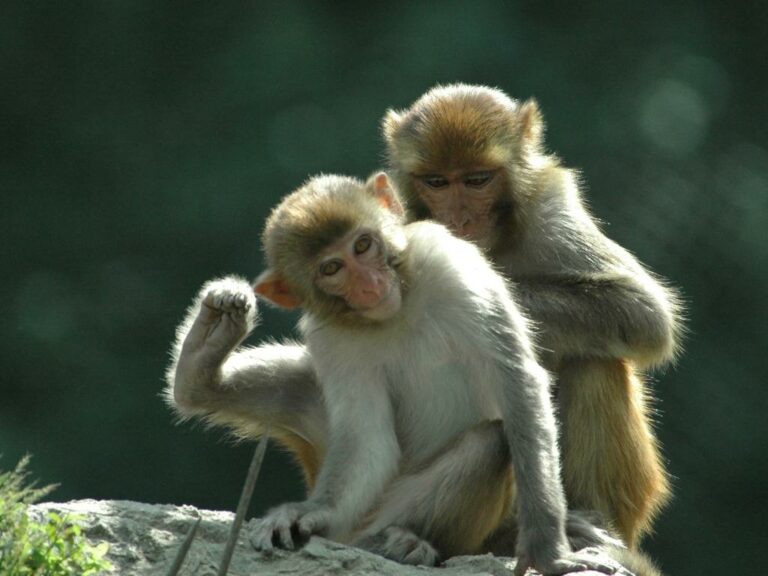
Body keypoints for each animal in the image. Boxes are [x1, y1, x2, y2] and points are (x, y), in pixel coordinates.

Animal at [166, 172, 616, 576]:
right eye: (332, 268)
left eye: (363, 245)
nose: (369, 284)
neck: (400, 307)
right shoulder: (332, 337)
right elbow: (367, 437)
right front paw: (311, 511)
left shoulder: (451, 262)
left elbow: (518, 387)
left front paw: (546, 549)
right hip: (358, 507)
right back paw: (200, 366)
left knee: (490, 442)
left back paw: (395, 541)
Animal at [384, 82, 684, 548]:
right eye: (437, 182)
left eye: (477, 180)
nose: (459, 220)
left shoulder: (551, 206)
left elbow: (645, 313)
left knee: (593, 363)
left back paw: (586, 521)